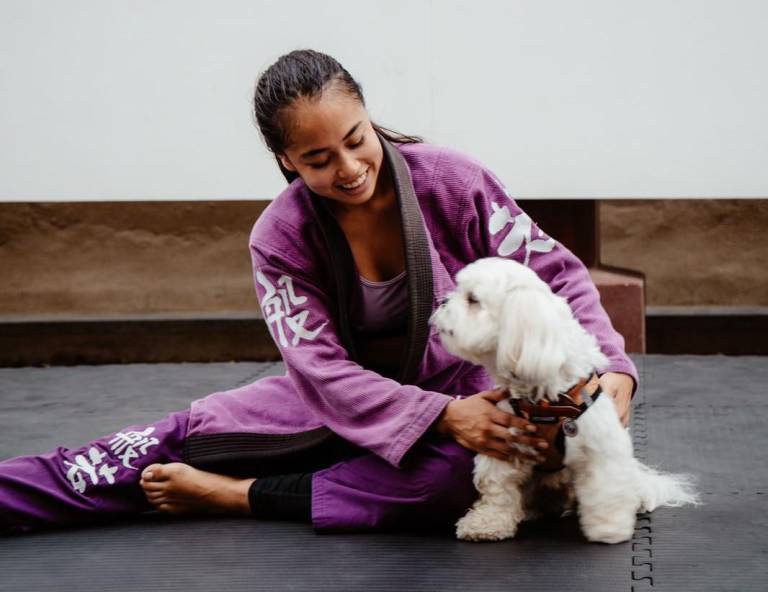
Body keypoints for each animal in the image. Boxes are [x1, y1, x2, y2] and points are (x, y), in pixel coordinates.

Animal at [428, 256, 700, 544]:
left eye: (473, 300)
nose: (442, 301)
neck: (546, 400)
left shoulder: (599, 451)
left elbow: (607, 491)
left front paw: (609, 529)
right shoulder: (504, 443)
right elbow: (496, 489)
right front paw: (486, 524)